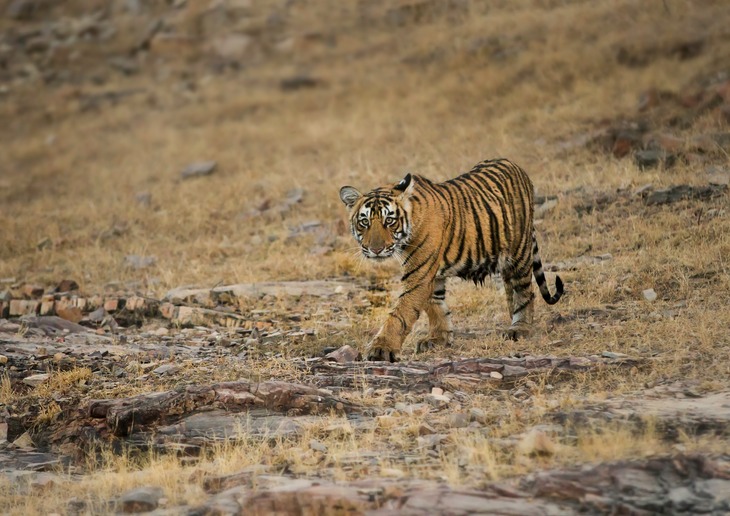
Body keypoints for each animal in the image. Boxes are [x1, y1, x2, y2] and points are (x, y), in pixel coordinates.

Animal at [338, 157, 560, 362]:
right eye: (364, 222)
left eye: (389, 220)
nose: (375, 250)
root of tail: (515, 165)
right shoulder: (430, 274)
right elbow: (435, 305)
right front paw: (439, 338)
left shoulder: (419, 275)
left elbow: (401, 313)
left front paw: (381, 348)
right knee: (511, 290)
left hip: (519, 251)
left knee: (525, 291)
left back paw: (520, 328)